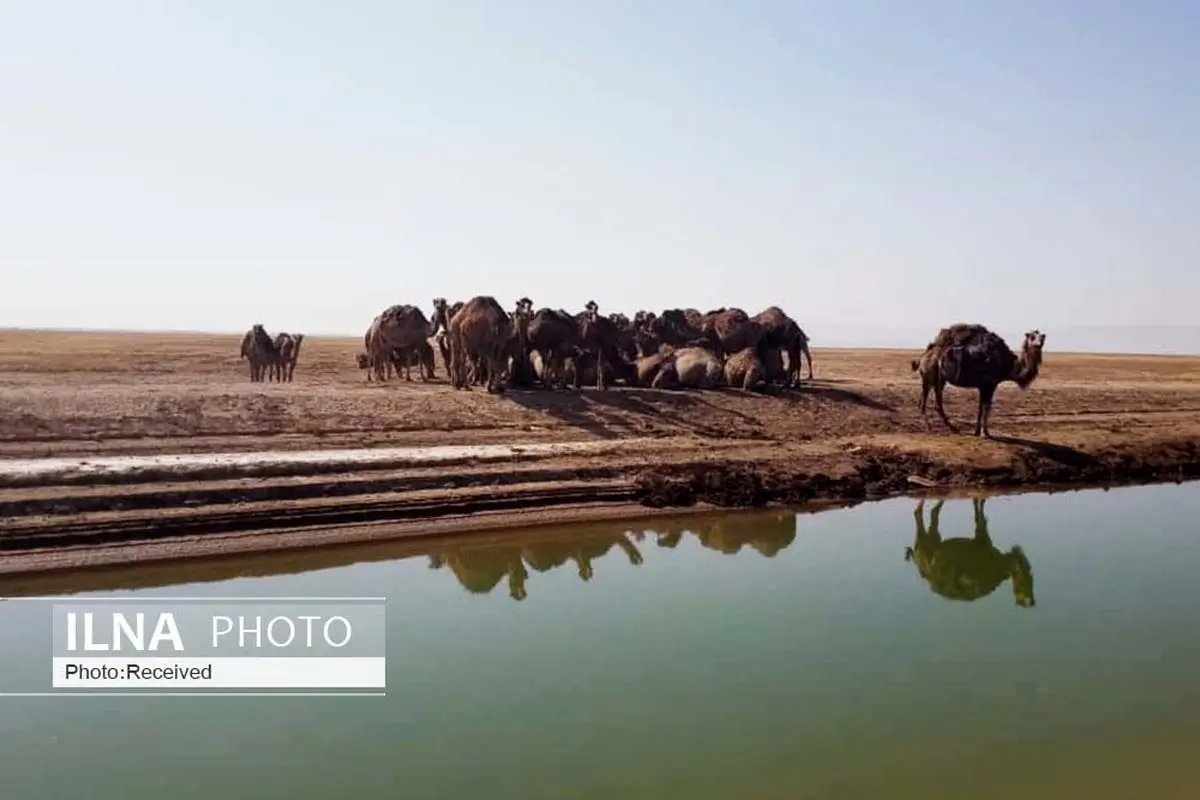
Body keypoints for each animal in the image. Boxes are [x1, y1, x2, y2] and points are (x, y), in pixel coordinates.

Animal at [902, 496, 1036, 609]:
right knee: (925, 516)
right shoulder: (983, 542)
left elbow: (978, 508)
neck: (1003, 565)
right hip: (929, 551)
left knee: (931, 513)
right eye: (1025, 585)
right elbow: (980, 519)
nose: (1032, 601)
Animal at [912, 323, 1046, 438]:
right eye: (1032, 337)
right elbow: (986, 407)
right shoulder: (989, 384)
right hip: (929, 375)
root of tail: (924, 356)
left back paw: (952, 429)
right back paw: (931, 428)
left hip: (938, 379)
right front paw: (985, 432)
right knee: (924, 402)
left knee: (935, 403)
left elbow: (982, 407)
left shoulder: (986, 386)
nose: (1038, 344)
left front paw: (978, 431)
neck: (1009, 366)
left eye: (1042, 337)